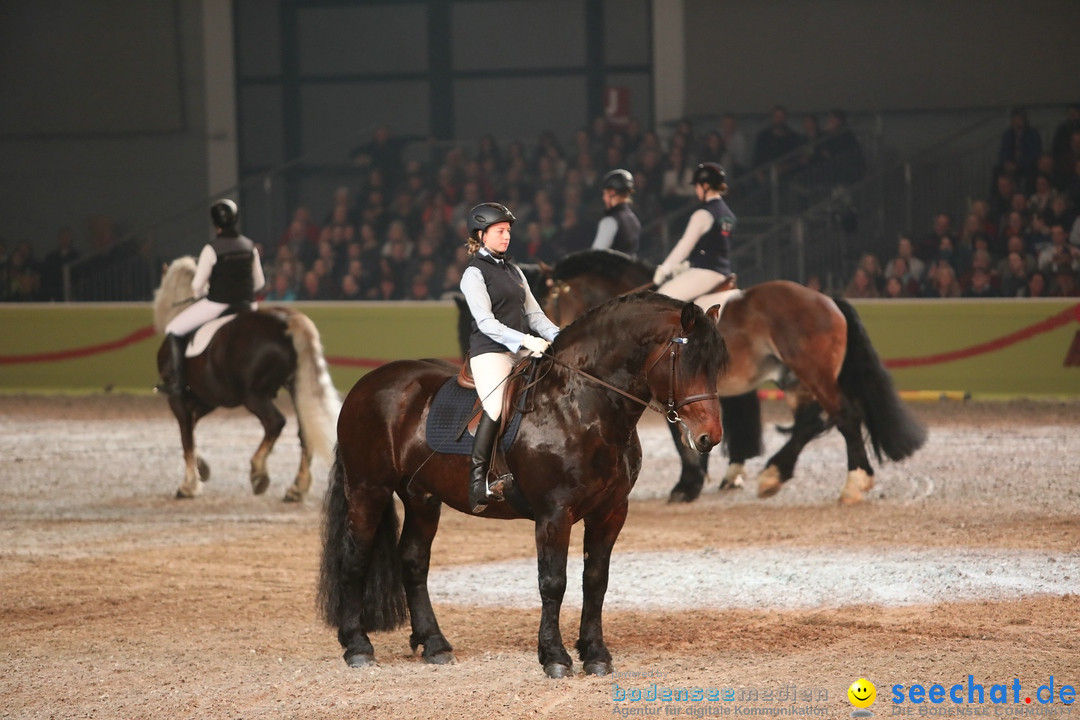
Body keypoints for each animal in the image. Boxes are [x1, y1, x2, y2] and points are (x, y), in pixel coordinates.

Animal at [154, 257, 339, 500]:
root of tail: (287, 320)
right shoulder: (208, 400)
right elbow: (192, 431)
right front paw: (202, 468)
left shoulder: (178, 399)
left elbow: (186, 438)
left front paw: (189, 485)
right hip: (295, 388)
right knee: (304, 430)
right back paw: (296, 488)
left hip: (254, 395)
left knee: (275, 422)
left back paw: (259, 473)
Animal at [319, 291, 725, 677]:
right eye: (686, 360)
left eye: (716, 365)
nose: (710, 437)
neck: (582, 407)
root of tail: (368, 383)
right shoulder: (554, 514)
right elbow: (553, 582)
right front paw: (555, 657)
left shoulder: (611, 512)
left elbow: (595, 581)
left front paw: (595, 654)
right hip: (368, 489)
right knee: (354, 559)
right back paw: (358, 647)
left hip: (422, 498)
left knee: (414, 561)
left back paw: (435, 645)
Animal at [535, 250, 924, 505]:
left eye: (548, 297)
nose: (552, 339)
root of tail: (827, 299)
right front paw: (704, 477)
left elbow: (681, 438)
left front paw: (688, 485)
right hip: (795, 380)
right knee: (812, 422)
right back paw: (774, 474)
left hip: (813, 375)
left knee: (844, 416)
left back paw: (855, 483)